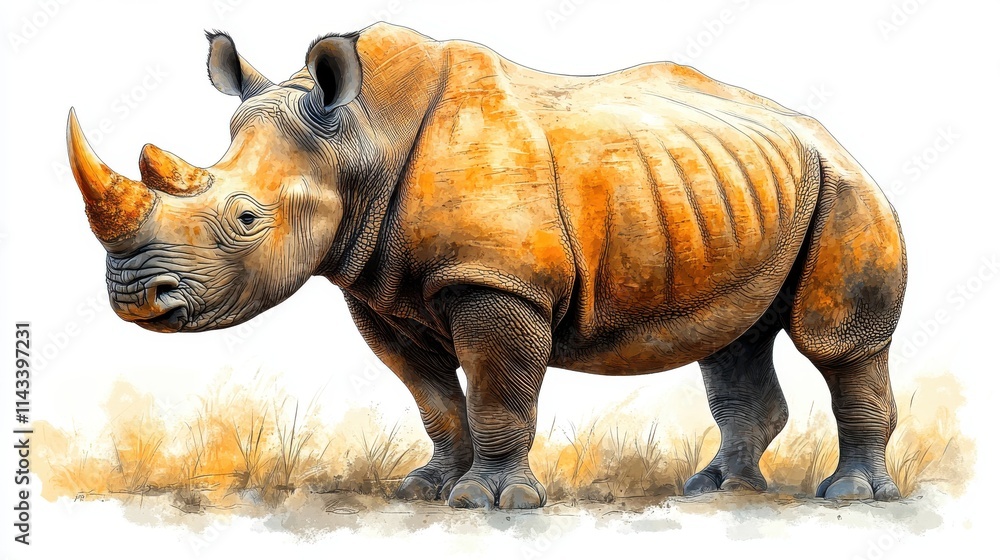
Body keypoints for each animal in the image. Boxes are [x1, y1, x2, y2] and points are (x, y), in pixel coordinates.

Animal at [66, 22, 906, 509]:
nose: (136, 297)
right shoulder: (379, 290)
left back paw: (851, 497)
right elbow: (435, 398)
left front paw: (493, 502)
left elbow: (499, 390)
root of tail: (823, 132)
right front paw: (428, 489)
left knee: (839, 342)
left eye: (245, 220)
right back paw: (717, 491)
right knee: (733, 341)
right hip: (737, 192)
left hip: (846, 187)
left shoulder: (499, 283)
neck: (356, 139)